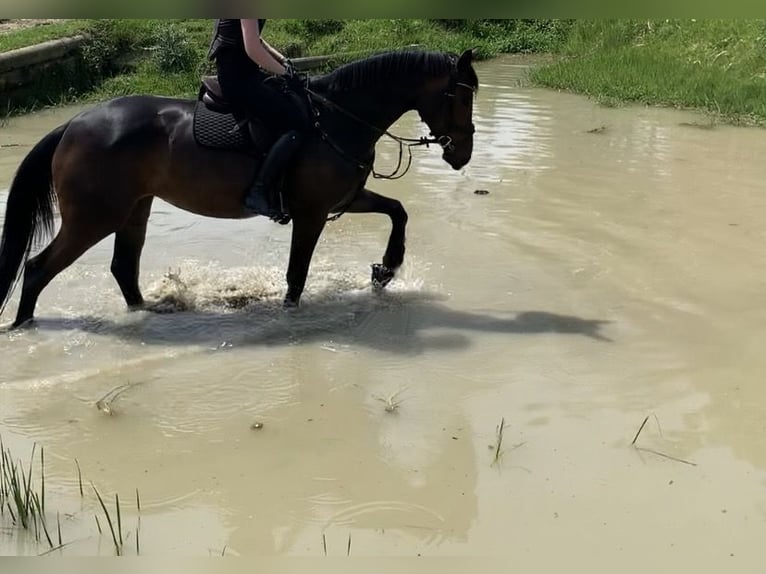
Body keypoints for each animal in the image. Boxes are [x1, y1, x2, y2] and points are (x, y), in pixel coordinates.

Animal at [0, 49, 478, 328]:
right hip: (94, 217)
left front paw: (385, 269)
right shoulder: (312, 213)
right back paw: (23, 328)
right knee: (38, 268)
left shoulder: (343, 199)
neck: (337, 118)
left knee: (123, 268)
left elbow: (398, 210)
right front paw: (290, 317)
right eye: (462, 96)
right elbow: (297, 275)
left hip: (134, 208)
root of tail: (74, 123)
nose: (463, 154)